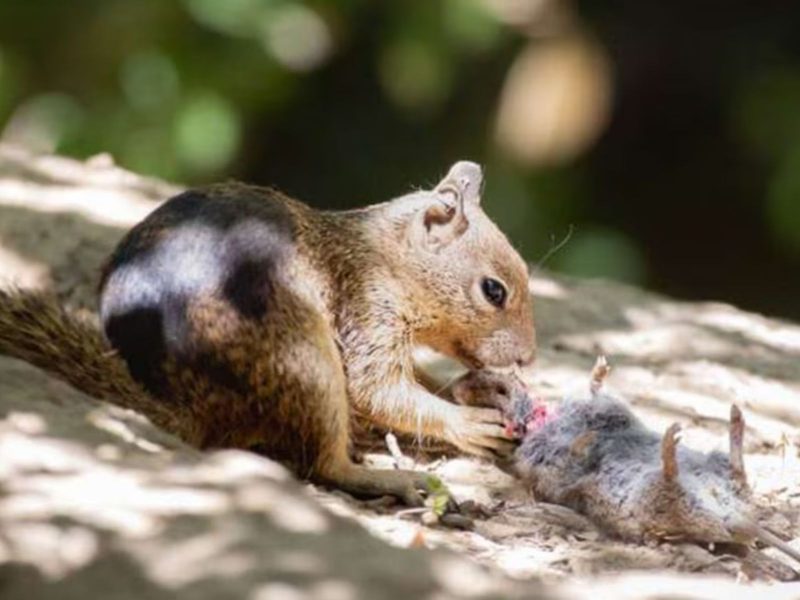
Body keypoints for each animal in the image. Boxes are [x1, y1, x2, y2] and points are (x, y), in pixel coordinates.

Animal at [1, 162, 536, 504]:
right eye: (493, 290)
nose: (529, 358)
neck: (384, 257)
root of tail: (189, 407)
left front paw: (482, 389)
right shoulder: (368, 311)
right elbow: (378, 390)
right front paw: (468, 423)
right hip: (307, 360)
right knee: (323, 465)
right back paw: (391, 480)